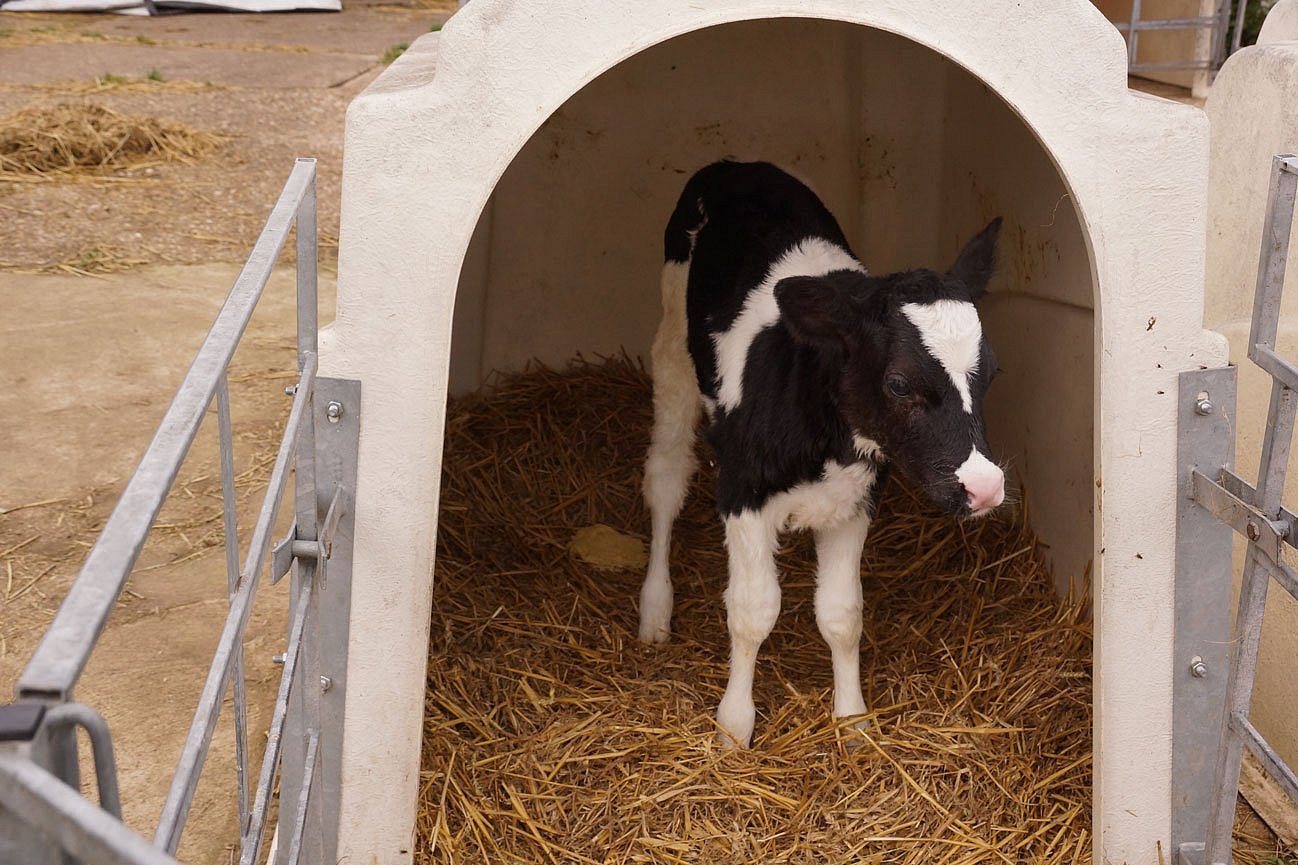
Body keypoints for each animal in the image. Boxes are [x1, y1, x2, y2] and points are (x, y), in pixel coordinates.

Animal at [638, 163, 1002, 748]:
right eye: (899, 383)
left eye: (991, 371)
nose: (986, 486)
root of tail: (735, 164)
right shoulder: (741, 490)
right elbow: (753, 610)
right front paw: (733, 727)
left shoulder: (856, 501)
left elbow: (842, 614)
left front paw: (852, 721)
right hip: (672, 339)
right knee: (667, 478)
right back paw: (654, 609)